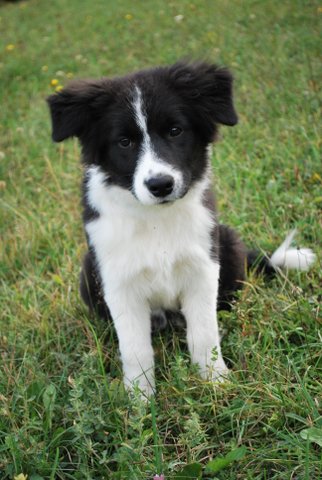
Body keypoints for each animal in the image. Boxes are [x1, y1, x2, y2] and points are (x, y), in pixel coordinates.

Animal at [46, 62, 316, 396]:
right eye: (124, 142)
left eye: (175, 131)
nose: (160, 185)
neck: (155, 218)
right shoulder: (118, 280)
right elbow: (135, 348)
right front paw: (140, 400)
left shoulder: (202, 268)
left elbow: (204, 334)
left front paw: (216, 383)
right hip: (88, 271)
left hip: (227, 242)